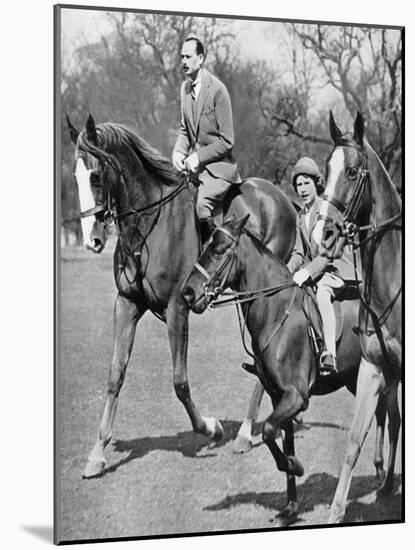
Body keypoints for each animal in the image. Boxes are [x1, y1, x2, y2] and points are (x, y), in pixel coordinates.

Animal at [66, 115, 298, 478]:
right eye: (74, 176)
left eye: (95, 175)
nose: (92, 240)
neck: (148, 224)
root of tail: (279, 196)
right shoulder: (126, 304)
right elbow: (115, 375)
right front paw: (97, 453)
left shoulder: (178, 308)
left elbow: (179, 381)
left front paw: (210, 428)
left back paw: (245, 432)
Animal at [182, 213, 394, 524]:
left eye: (218, 251)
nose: (187, 294)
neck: (275, 309)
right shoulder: (279, 397)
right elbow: (284, 439)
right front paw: (290, 508)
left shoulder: (296, 397)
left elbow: (270, 431)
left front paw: (295, 466)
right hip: (359, 381)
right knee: (381, 414)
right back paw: (380, 471)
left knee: (393, 417)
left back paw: (387, 481)